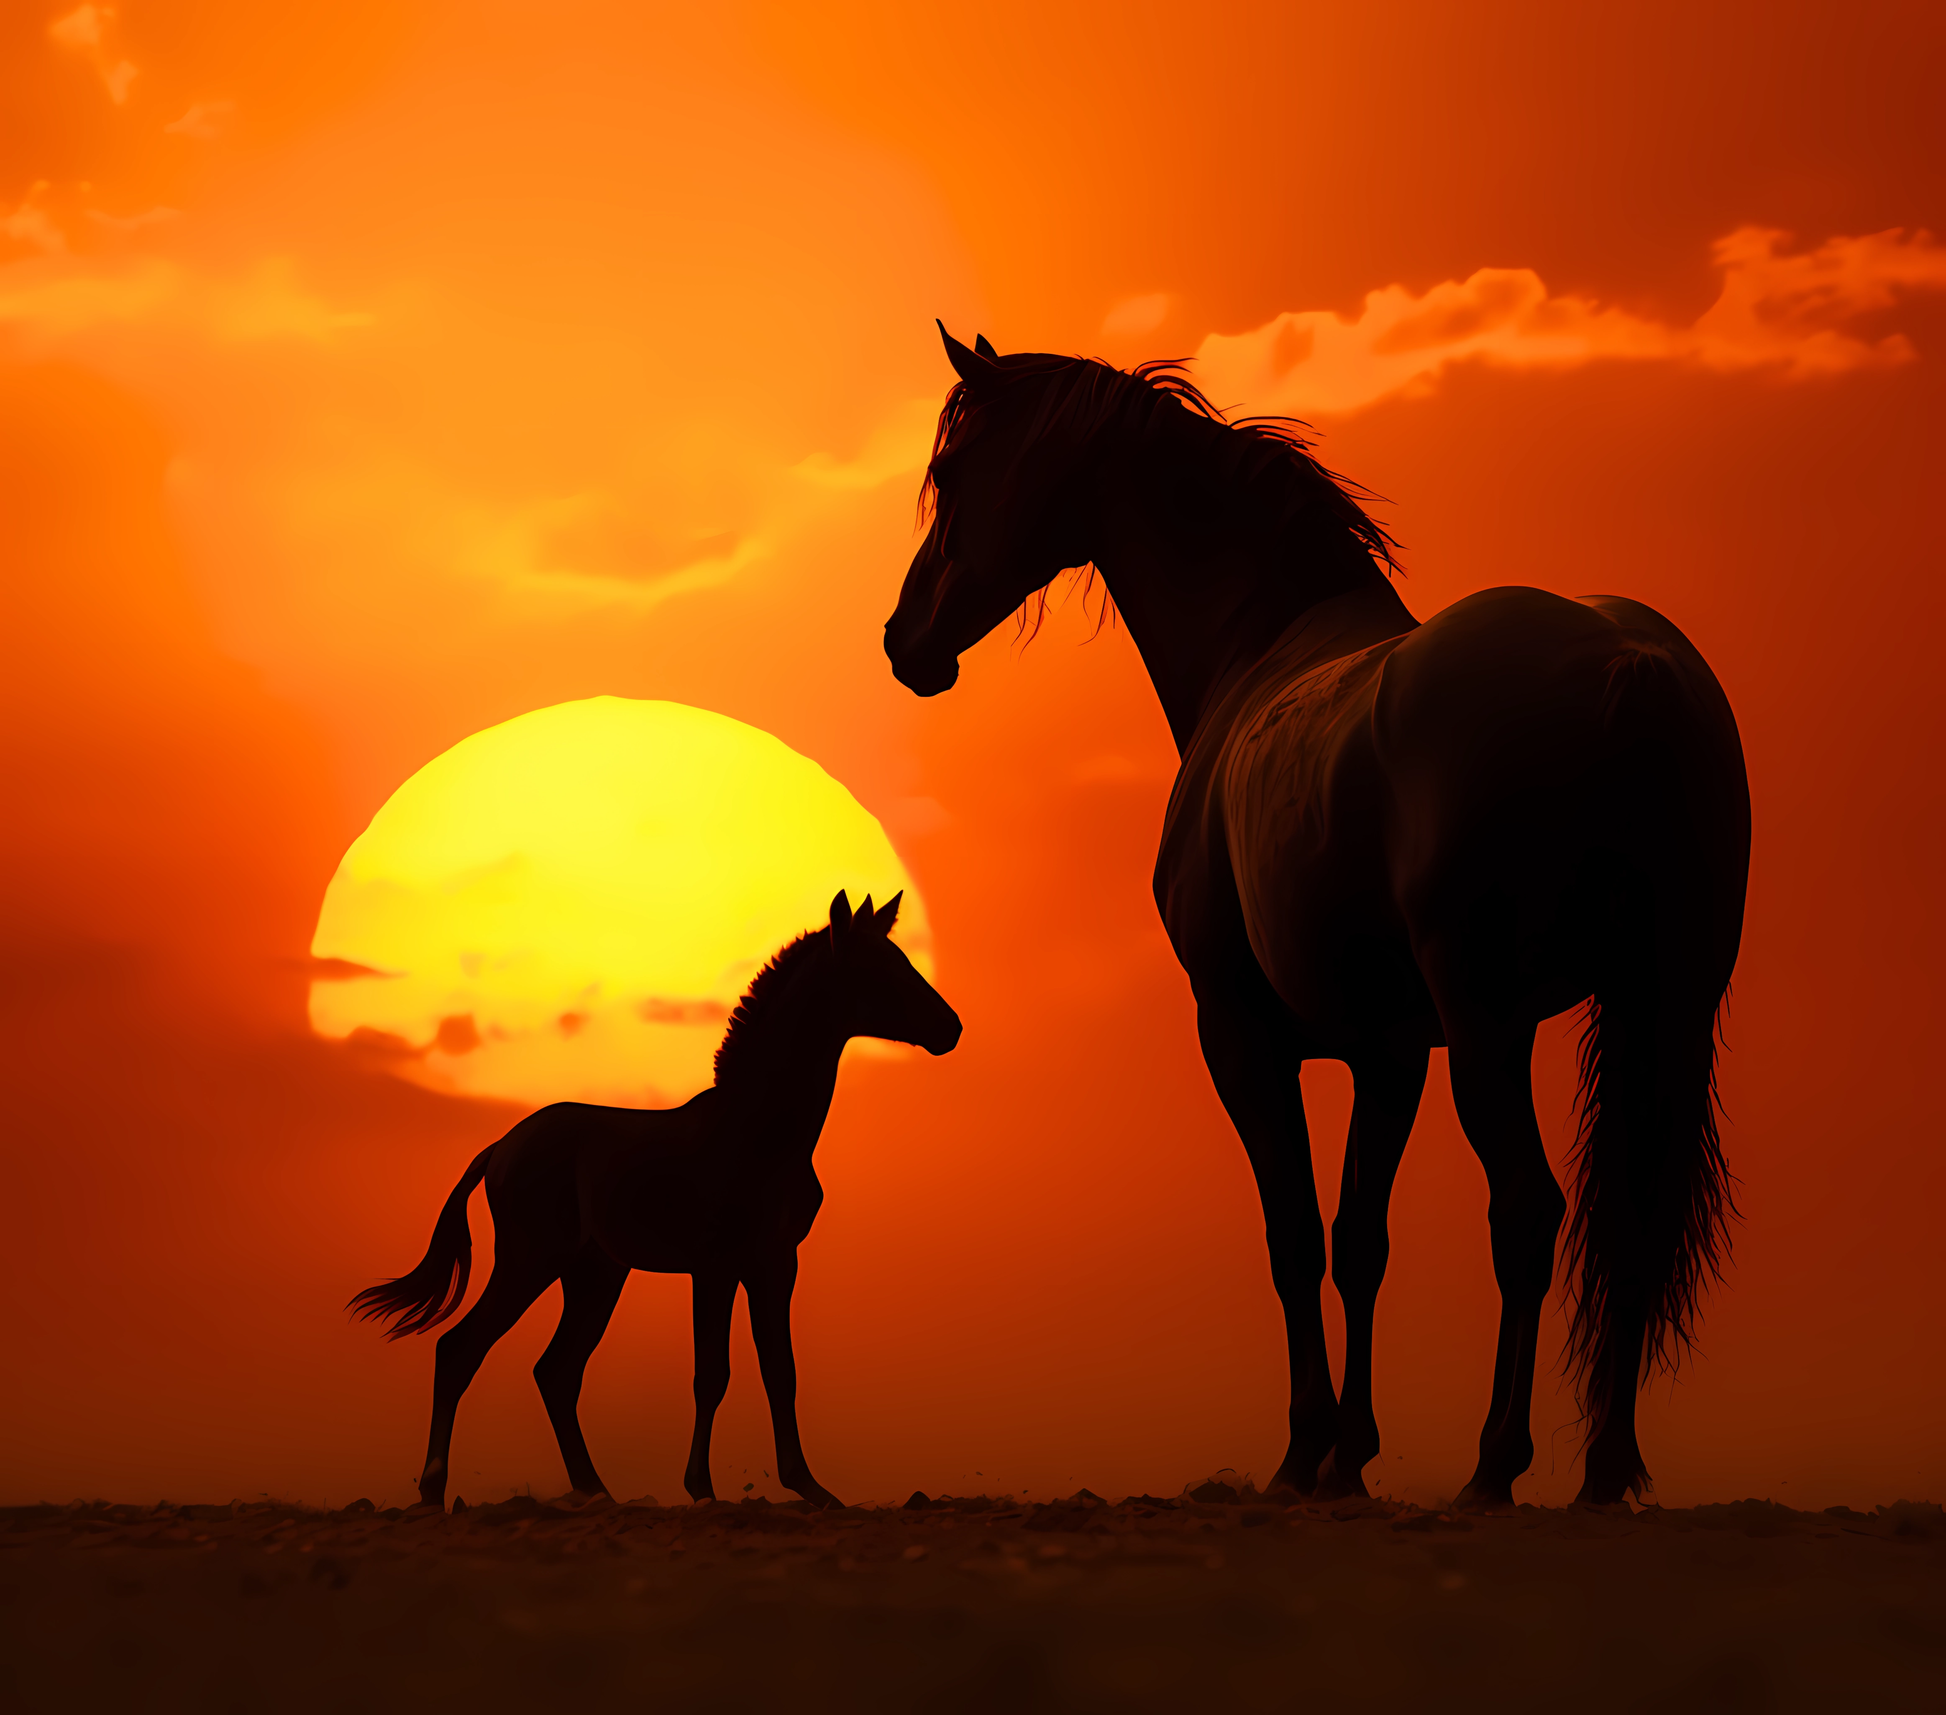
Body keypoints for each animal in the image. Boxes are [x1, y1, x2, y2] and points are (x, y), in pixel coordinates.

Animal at [350, 890, 962, 1511]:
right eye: (879, 967)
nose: (951, 1028)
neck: (759, 1132)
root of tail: (500, 1148)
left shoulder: (775, 1263)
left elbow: (780, 1370)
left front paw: (809, 1486)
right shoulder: (715, 1266)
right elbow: (712, 1373)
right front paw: (702, 1488)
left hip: (594, 1274)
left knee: (555, 1371)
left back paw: (596, 1490)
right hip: (530, 1261)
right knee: (461, 1349)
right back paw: (433, 1489)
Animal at [884, 329, 1748, 1508]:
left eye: (956, 470)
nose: (904, 638)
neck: (1254, 654)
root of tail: (1629, 661)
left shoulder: (1241, 1033)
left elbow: (1293, 1231)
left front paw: (1304, 1451)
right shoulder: (1390, 1053)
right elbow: (1358, 1236)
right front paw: (1349, 1452)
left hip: (1490, 1026)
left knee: (1528, 1210)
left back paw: (1497, 1462)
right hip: (1663, 1002)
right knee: (1637, 1213)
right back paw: (1604, 1469)